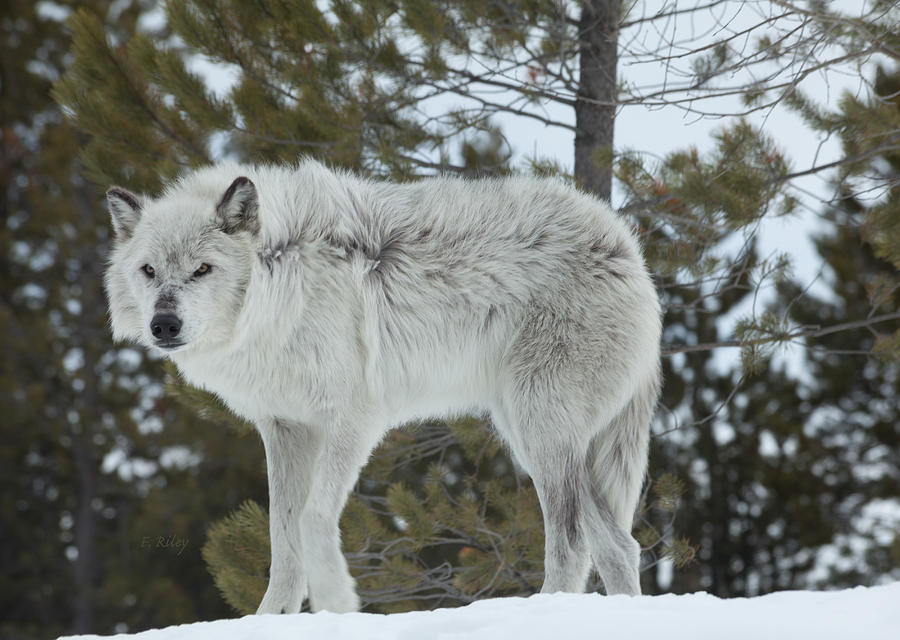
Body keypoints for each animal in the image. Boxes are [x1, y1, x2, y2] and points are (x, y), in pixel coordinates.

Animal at [105, 158, 664, 612]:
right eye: (149, 271)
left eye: (202, 269)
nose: (164, 325)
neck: (285, 281)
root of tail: (628, 247)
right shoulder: (286, 428)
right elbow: (282, 539)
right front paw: (272, 618)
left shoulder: (353, 421)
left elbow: (311, 521)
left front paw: (338, 605)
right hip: (532, 437)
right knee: (619, 546)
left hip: (540, 431)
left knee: (573, 544)